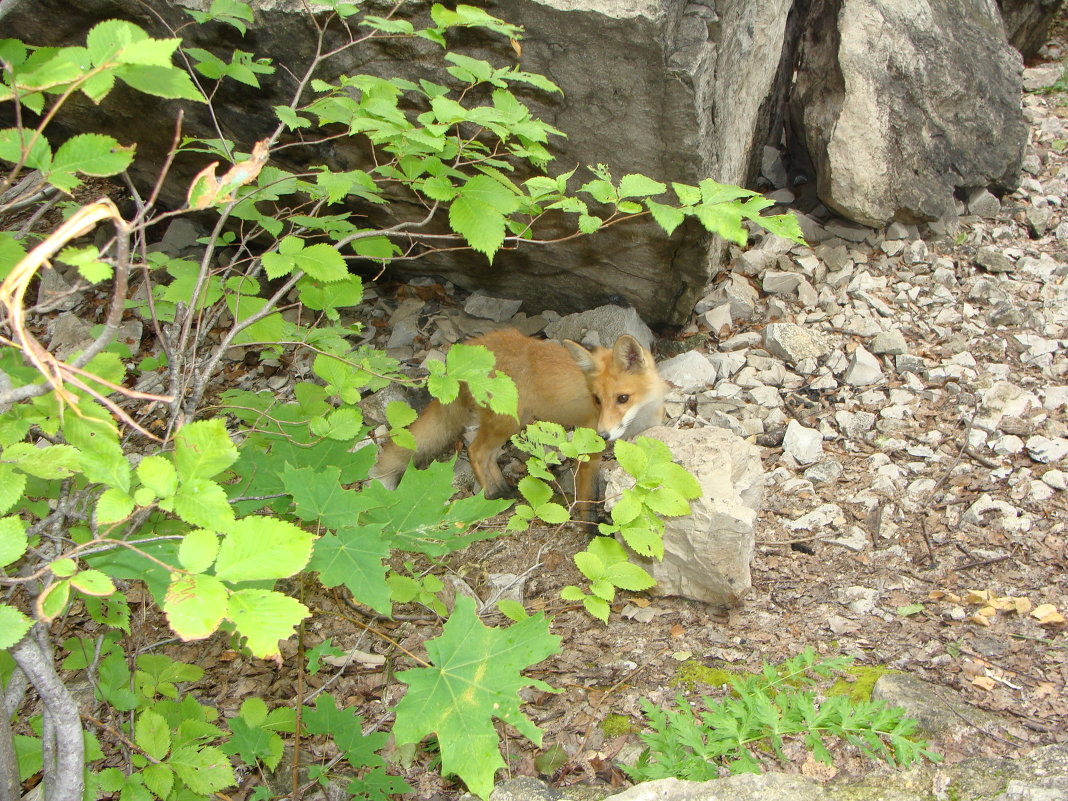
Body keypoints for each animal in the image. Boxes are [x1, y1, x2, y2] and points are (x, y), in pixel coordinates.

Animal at [369, 328, 666, 523]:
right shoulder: (588, 452)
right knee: (476, 451)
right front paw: (590, 529)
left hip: (512, 422)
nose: (603, 435)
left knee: (487, 455)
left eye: (622, 398)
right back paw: (491, 494)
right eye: (597, 400)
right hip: (507, 422)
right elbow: (587, 495)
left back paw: (503, 489)